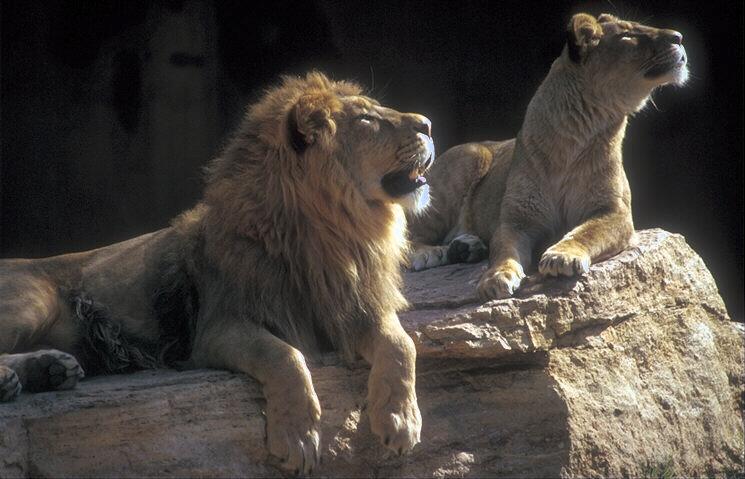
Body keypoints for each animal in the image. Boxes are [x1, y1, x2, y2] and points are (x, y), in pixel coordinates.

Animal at [1, 71, 430, 476]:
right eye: (365, 119)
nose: (427, 123)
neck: (333, 233)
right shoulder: (219, 325)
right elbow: (285, 356)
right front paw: (298, 439)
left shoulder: (356, 307)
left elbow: (401, 344)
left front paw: (401, 420)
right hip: (32, 300)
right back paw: (14, 380)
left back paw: (52, 370)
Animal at [406, 13, 684, 300]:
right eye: (627, 36)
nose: (679, 37)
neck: (575, 141)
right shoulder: (516, 220)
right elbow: (504, 251)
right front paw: (495, 278)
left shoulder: (615, 212)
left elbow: (586, 233)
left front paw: (562, 256)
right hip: (469, 159)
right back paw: (433, 253)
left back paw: (465, 247)